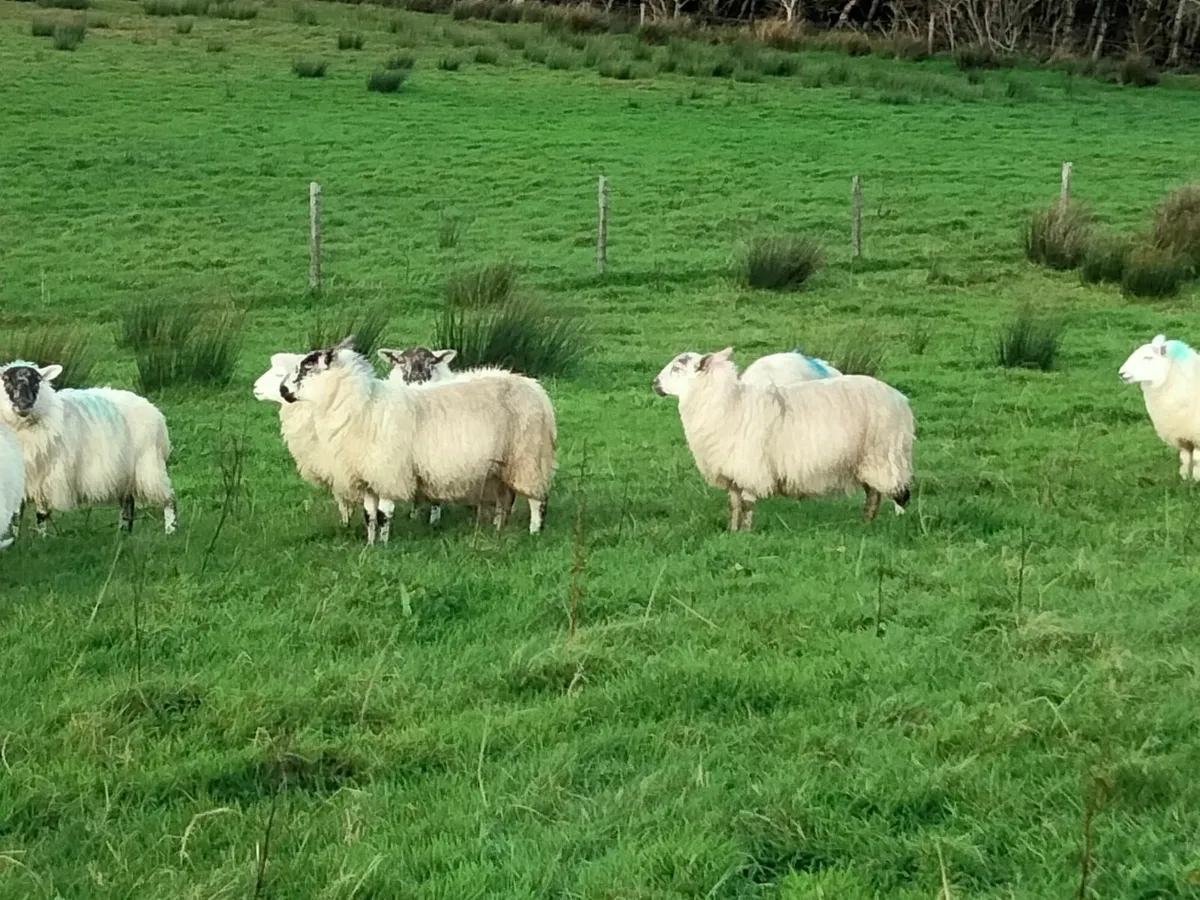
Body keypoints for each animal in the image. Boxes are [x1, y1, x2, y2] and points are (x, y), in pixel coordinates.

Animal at [0, 360, 177, 535]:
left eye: (37, 381)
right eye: (6, 379)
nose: (24, 404)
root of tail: (152, 408)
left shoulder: (47, 478)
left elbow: (41, 514)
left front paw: (42, 538)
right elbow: (15, 517)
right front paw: (15, 539)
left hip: (148, 465)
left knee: (169, 498)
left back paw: (170, 530)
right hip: (124, 471)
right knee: (128, 502)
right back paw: (123, 534)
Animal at [280, 337, 556, 544]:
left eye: (308, 365)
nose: (282, 390)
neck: (362, 405)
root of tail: (534, 387)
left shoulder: (388, 471)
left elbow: (384, 513)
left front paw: (383, 546)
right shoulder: (368, 474)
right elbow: (369, 515)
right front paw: (369, 545)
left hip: (529, 456)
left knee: (537, 499)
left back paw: (534, 531)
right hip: (502, 463)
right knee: (505, 498)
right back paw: (499, 528)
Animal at [652, 347, 914, 530]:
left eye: (677, 368)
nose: (653, 383)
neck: (731, 404)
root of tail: (900, 398)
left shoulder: (749, 468)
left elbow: (746, 504)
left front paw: (745, 533)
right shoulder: (732, 470)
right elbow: (733, 505)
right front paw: (732, 532)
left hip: (884, 453)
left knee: (896, 491)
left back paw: (894, 521)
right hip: (866, 458)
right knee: (873, 493)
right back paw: (866, 523)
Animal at [1118, 334, 1200, 481]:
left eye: (1148, 357)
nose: (1122, 373)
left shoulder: (1196, 434)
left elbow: (1196, 460)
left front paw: (1196, 479)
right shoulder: (1180, 434)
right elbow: (1184, 458)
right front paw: (1184, 478)